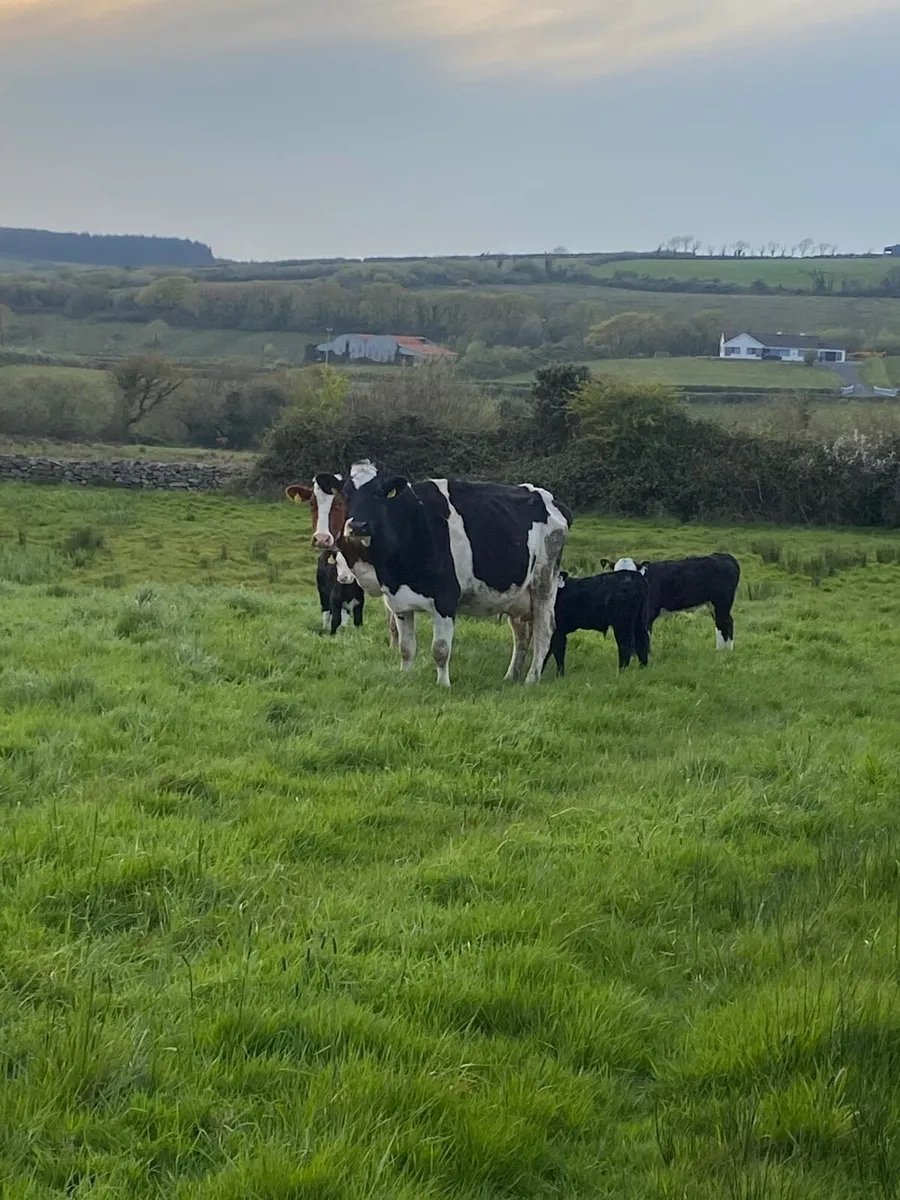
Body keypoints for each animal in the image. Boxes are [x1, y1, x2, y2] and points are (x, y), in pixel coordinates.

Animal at [313, 460, 572, 687]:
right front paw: (405, 678)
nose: (357, 526)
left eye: (378, 494)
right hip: (517, 594)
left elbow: (440, 649)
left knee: (544, 630)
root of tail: (549, 498)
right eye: (345, 495)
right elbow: (405, 648)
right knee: (521, 634)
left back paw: (531, 679)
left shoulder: (446, 600)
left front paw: (443, 685)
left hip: (544, 583)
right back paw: (511, 676)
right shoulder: (398, 602)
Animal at [609, 553, 740, 651]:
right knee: (724, 623)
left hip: (722, 602)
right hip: (713, 604)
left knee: (724, 622)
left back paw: (723, 651)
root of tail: (725, 556)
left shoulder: (647, 615)